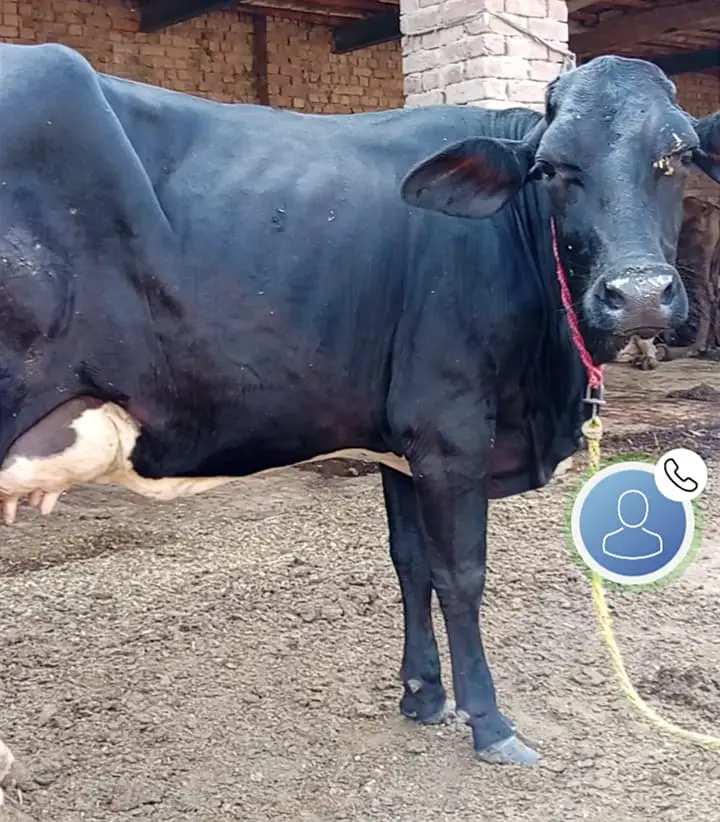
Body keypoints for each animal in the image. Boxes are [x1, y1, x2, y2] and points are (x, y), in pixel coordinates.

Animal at [0, 43, 718, 776]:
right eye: (551, 168)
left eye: (680, 155)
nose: (637, 295)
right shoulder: (451, 428)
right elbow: (461, 574)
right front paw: (488, 722)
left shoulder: (402, 440)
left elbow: (410, 562)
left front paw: (423, 695)